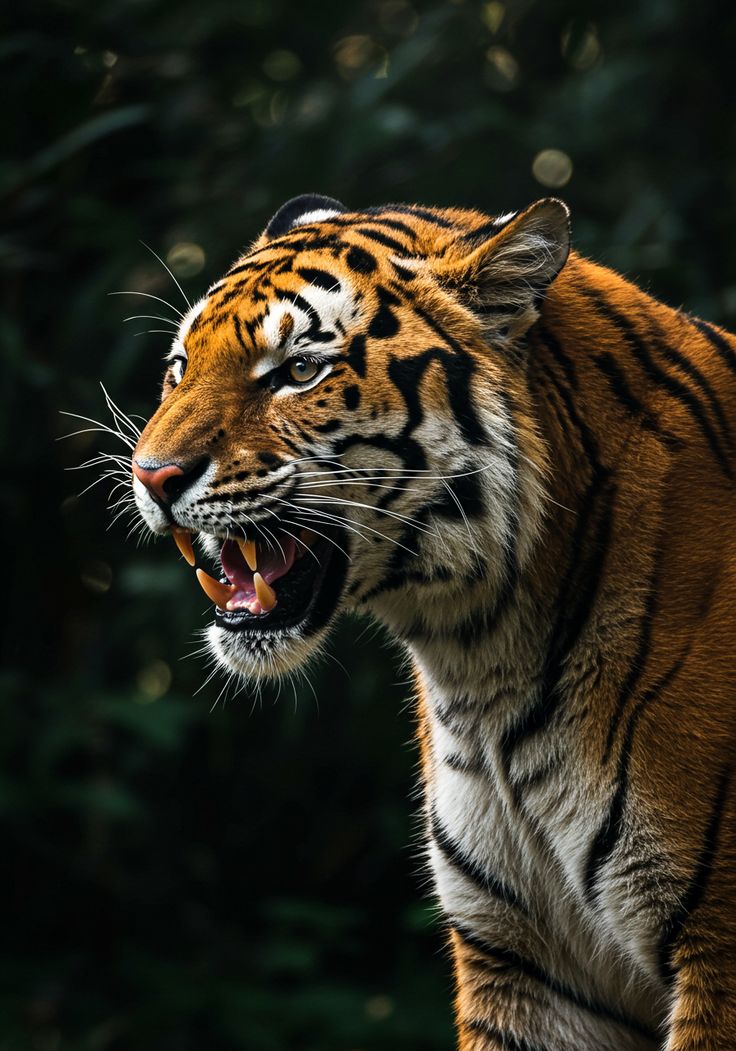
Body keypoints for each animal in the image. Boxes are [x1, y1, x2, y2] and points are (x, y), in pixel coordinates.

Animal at [130, 192, 736, 1050]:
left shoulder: (718, 947)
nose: (151, 476)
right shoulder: (524, 960)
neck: (485, 657)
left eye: (299, 371)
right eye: (179, 368)